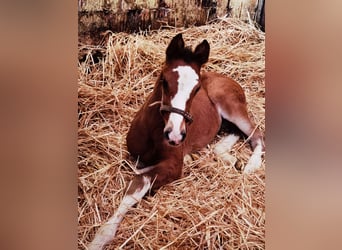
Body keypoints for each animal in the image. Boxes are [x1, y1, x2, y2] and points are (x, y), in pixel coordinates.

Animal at [86, 33, 264, 250]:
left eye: (196, 89)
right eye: (164, 81)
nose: (175, 135)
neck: (153, 133)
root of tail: (225, 77)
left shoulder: (173, 165)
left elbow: (139, 182)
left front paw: (101, 238)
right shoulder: (134, 155)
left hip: (232, 107)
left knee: (256, 135)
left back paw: (251, 166)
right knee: (235, 133)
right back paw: (232, 160)